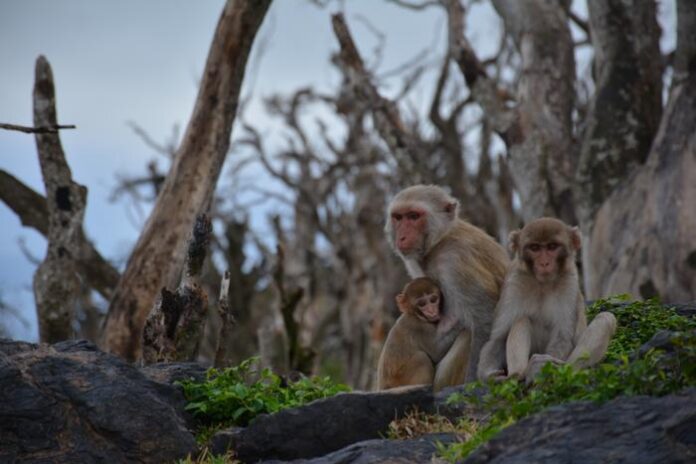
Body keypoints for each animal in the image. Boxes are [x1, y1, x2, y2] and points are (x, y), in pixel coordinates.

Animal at [385, 185, 509, 387]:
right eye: (398, 217)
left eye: (413, 216)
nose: (402, 237)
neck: (440, 241)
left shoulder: (455, 260)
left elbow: (487, 318)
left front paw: (473, 382)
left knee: (468, 334)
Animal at [477, 217, 617, 383]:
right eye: (535, 248)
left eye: (552, 246)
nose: (544, 263)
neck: (542, 284)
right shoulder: (514, 283)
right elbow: (498, 338)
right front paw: (489, 376)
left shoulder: (569, 283)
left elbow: (562, 336)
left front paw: (544, 368)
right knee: (521, 320)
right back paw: (520, 373)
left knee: (606, 318)